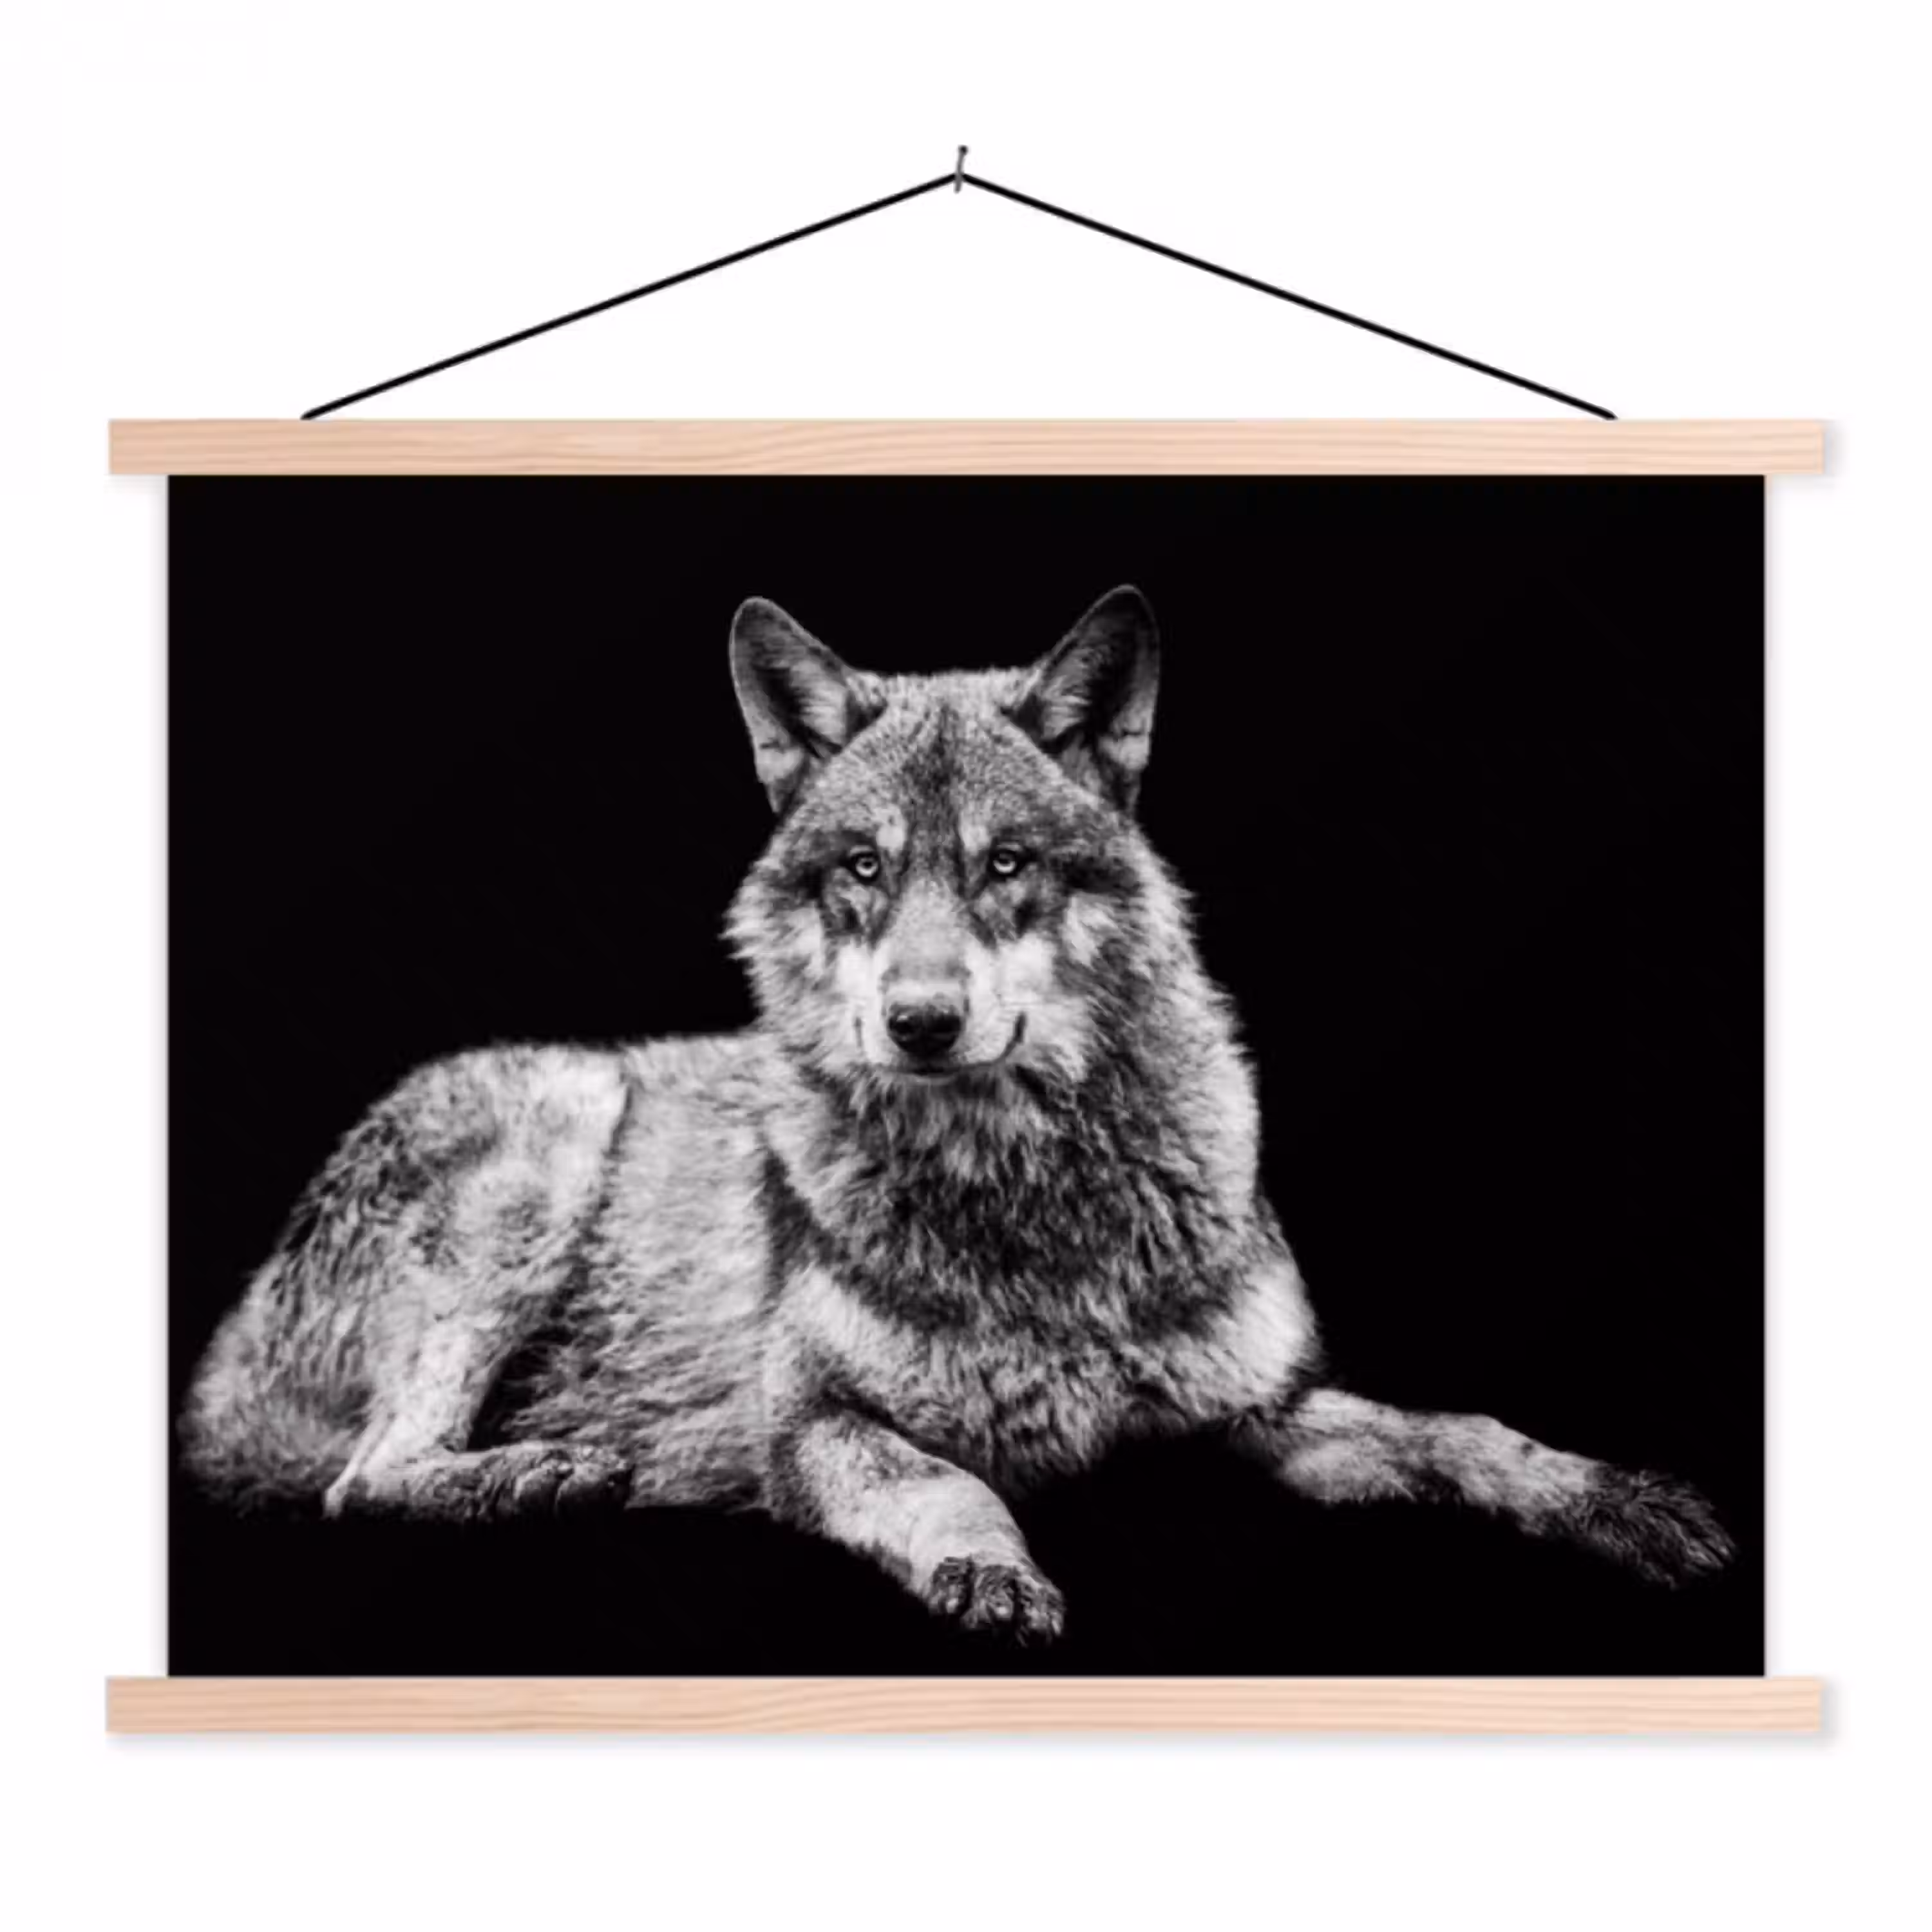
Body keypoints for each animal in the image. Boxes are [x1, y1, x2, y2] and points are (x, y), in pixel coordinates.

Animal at [182, 585, 1733, 1641]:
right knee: (362, 1481)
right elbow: (948, 1486)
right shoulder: (813, 1429)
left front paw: (1620, 1502)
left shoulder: (1264, 1410)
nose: (920, 1023)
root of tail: (226, 1350)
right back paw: (543, 1474)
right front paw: (990, 1570)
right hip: (552, 1136)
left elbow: (1468, 1433)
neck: (1031, 1205)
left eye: (1005, 866)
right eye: (865, 868)